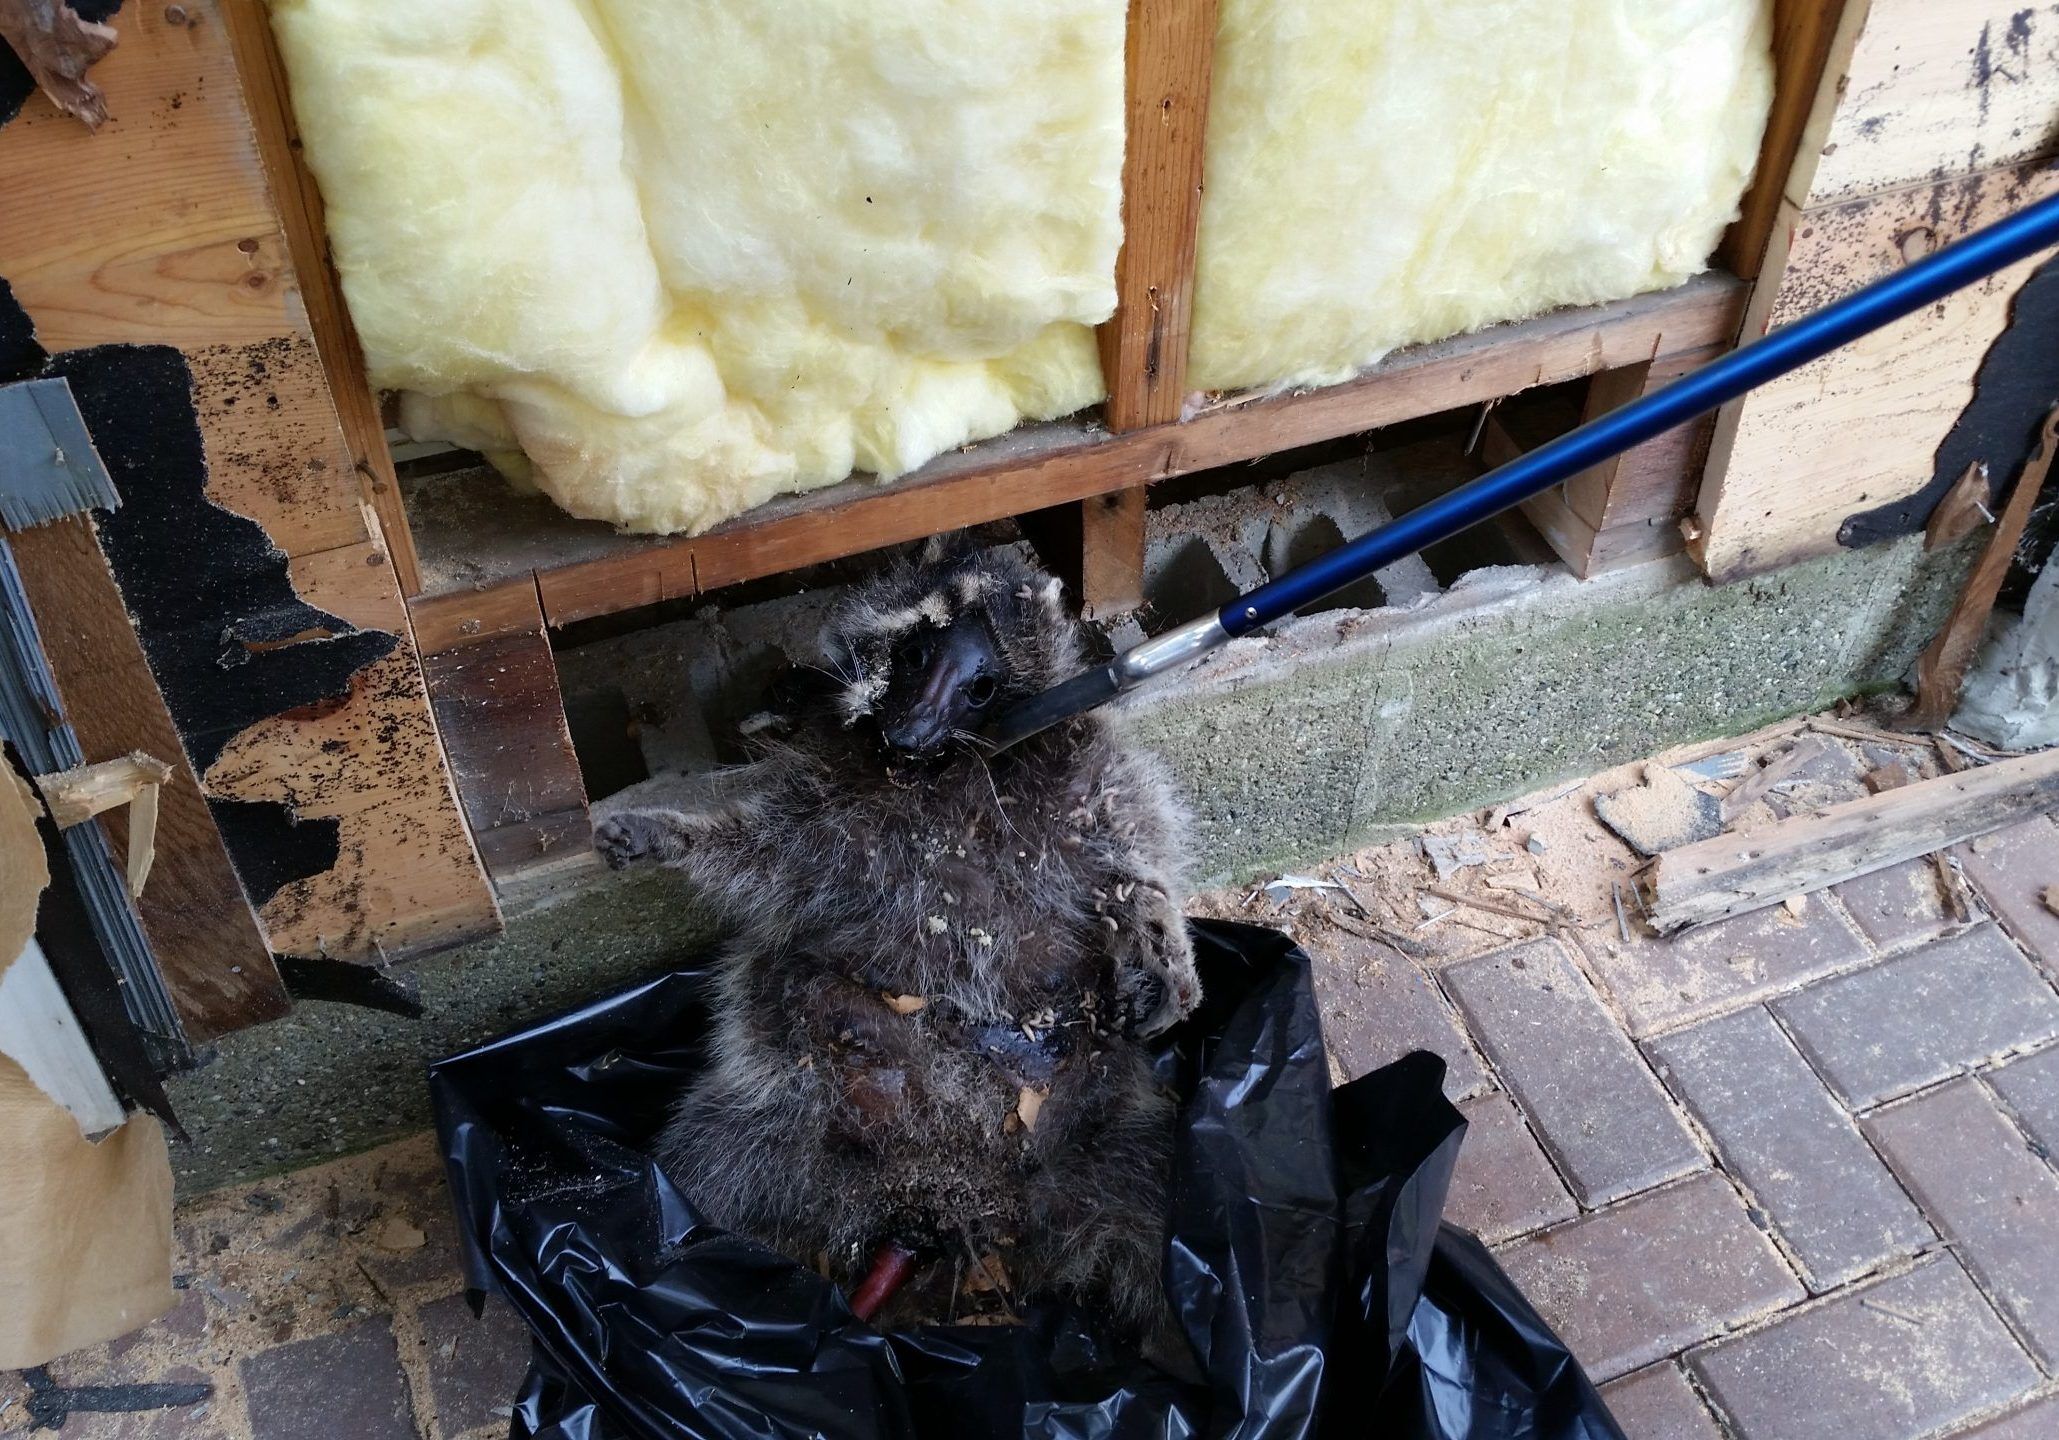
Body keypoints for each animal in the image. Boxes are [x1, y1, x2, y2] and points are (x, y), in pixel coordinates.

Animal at [593, 537, 1201, 1335]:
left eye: (981, 686)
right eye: (913, 655)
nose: (907, 731)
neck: (949, 768)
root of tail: (944, 1190)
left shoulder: (1092, 771)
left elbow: (1136, 865)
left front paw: (1163, 942)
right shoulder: (825, 802)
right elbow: (760, 857)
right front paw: (675, 834)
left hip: (1101, 1140)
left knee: (1151, 1198)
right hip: (791, 1106)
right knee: (715, 1156)